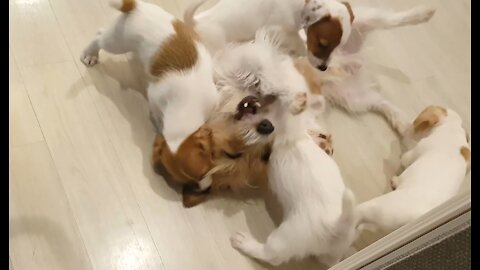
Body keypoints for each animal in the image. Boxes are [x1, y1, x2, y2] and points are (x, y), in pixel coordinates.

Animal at [229, 89, 356, 266]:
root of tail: (336, 226)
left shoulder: (285, 128)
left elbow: (288, 114)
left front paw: (295, 103)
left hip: (285, 237)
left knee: (270, 255)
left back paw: (244, 242)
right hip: (332, 252)